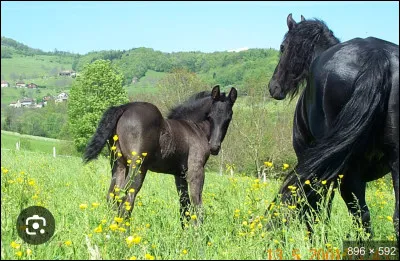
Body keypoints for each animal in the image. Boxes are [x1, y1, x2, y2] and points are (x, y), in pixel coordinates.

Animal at [83, 84, 236, 224]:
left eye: (228, 118)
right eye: (210, 117)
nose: (214, 147)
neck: (194, 128)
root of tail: (124, 107)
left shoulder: (179, 174)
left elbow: (184, 205)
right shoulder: (196, 170)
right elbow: (197, 203)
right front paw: (198, 232)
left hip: (118, 164)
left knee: (113, 195)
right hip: (138, 166)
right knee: (127, 197)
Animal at [268, 13, 398, 240]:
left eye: (283, 47)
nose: (273, 87)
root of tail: (376, 55)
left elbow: (315, 210)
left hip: (347, 167)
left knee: (359, 214)